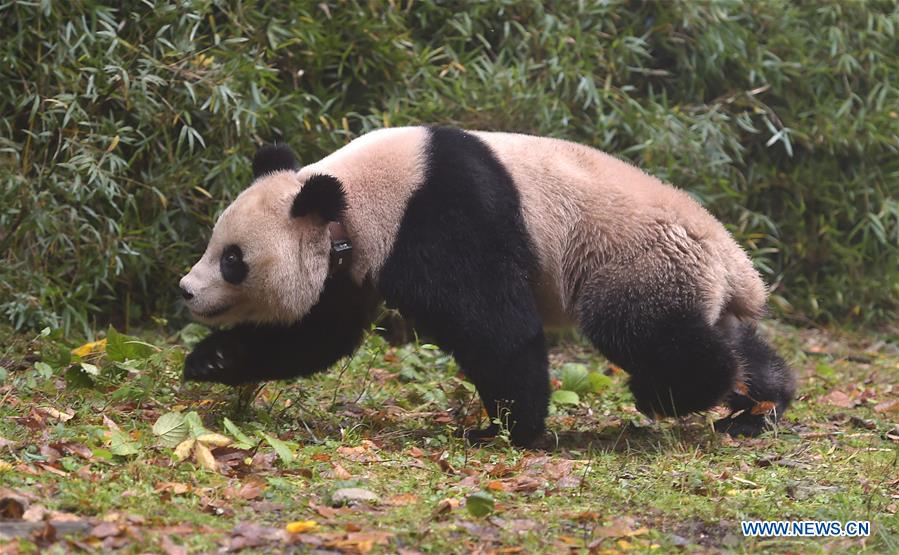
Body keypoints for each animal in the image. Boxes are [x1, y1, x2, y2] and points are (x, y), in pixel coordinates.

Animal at [179, 126, 800, 448]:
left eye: (233, 260)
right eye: (216, 244)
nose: (186, 289)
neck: (351, 196)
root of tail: (736, 265)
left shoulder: (439, 215)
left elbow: (494, 326)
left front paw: (509, 430)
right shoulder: (351, 263)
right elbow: (319, 335)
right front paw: (211, 361)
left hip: (634, 261)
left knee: (644, 332)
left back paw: (673, 396)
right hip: (685, 279)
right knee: (722, 334)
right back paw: (760, 405)